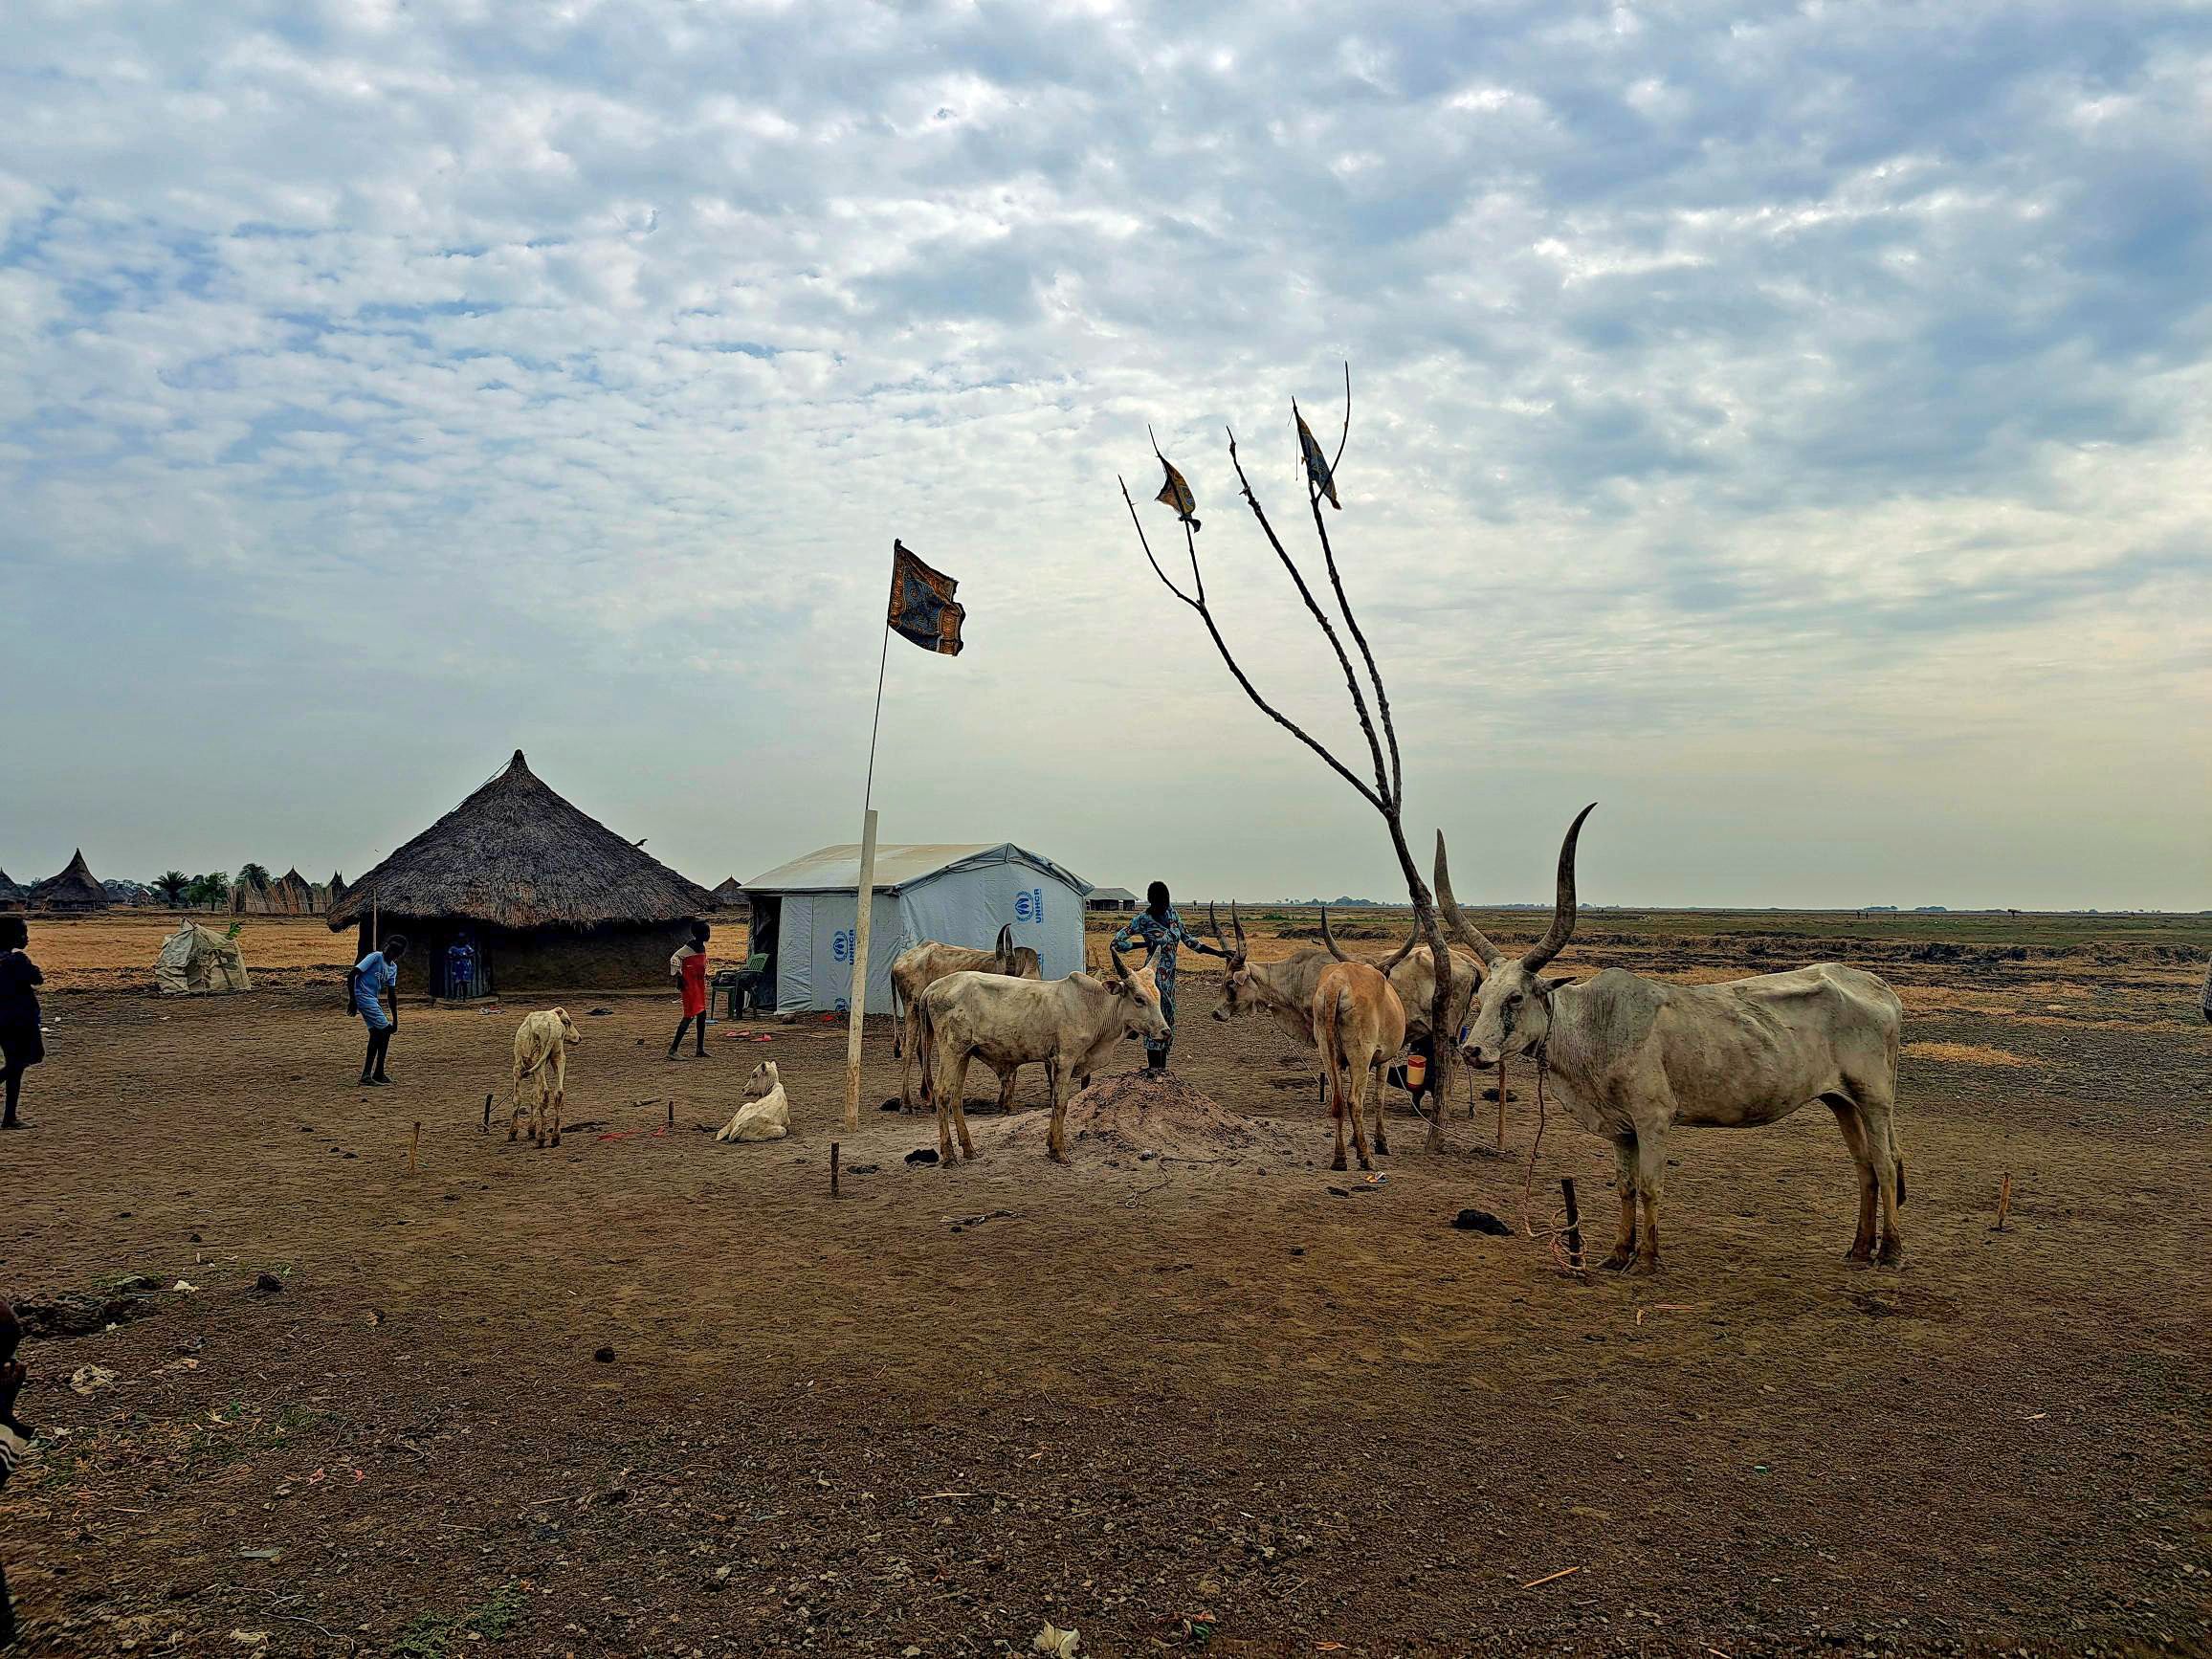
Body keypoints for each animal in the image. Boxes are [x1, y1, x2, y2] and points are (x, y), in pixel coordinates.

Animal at [506, 1008, 579, 1150]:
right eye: (567, 1022)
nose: (579, 1038)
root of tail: (552, 1024)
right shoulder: (535, 1072)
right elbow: (534, 1097)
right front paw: (531, 1129)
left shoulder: (517, 1069)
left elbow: (517, 1098)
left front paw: (513, 1132)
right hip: (558, 1057)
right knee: (558, 1093)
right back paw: (555, 1137)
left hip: (538, 1062)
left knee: (545, 1093)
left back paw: (541, 1138)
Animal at [889, 929, 1044, 1110]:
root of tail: (899, 962)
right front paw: (1006, 1100)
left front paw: (1004, 1099)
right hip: (912, 1009)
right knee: (907, 1050)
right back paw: (905, 1103)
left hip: (926, 1021)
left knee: (922, 1049)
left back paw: (931, 1099)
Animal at [1424, 813, 1911, 1282]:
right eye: (1482, 995)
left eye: (1515, 998)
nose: (1473, 1051)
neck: (1596, 1024)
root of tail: (1877, 985)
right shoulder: (1620, 1128)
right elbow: (1625, 1187)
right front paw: (1618, 1255)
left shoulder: (1654, 1118)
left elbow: (1650, 1187)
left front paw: (1648, 1261)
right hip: (1840, 1100)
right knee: (1864, 1166)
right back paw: (1858, 1250)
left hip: (1875, 1098)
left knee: (1886, 1163)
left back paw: (1889, 1252)